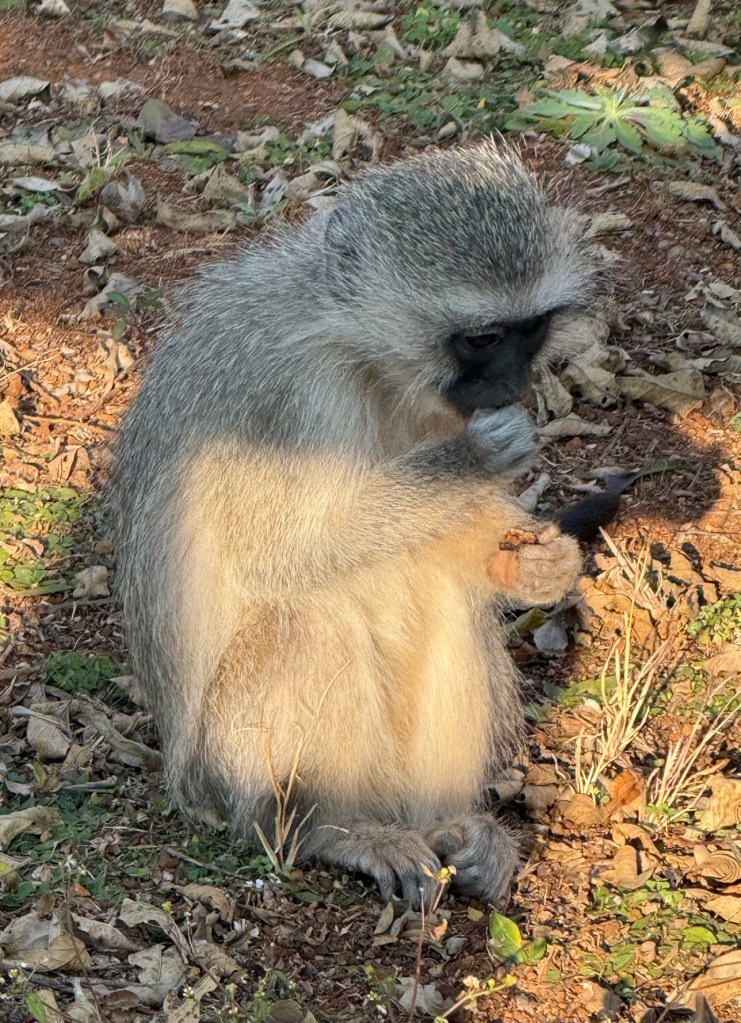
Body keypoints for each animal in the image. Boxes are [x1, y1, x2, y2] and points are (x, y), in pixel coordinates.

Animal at [109, 140, 594, 908]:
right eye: (483, 338)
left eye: (531, 330)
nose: (515, 384)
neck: (361, 356)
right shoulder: (288, 399)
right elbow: (278, 553)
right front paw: (474, 456)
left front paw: (537, 563)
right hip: (227, 773)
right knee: (309, 621)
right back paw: (335, 832)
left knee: (442, 597)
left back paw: (446, 823)